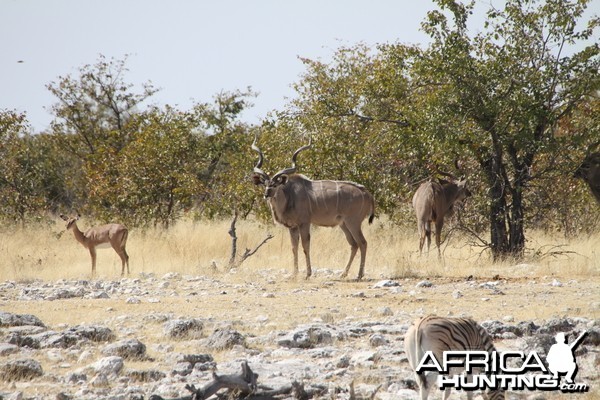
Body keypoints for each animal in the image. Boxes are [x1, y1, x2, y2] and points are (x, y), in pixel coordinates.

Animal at [250, 139, 372, 280]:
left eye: (275, 185)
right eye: (264, 184)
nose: (267, 194)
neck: (289, 195)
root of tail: (367, 193)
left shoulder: (304, 223)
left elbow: (305, 246)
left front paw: (308, 274)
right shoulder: (292, 227)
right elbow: (294, 248)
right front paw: (294, 274)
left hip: (353, 222)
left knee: (363, 243)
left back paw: (359, 275)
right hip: (344, 224)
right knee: (354, 244)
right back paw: (344, 273)